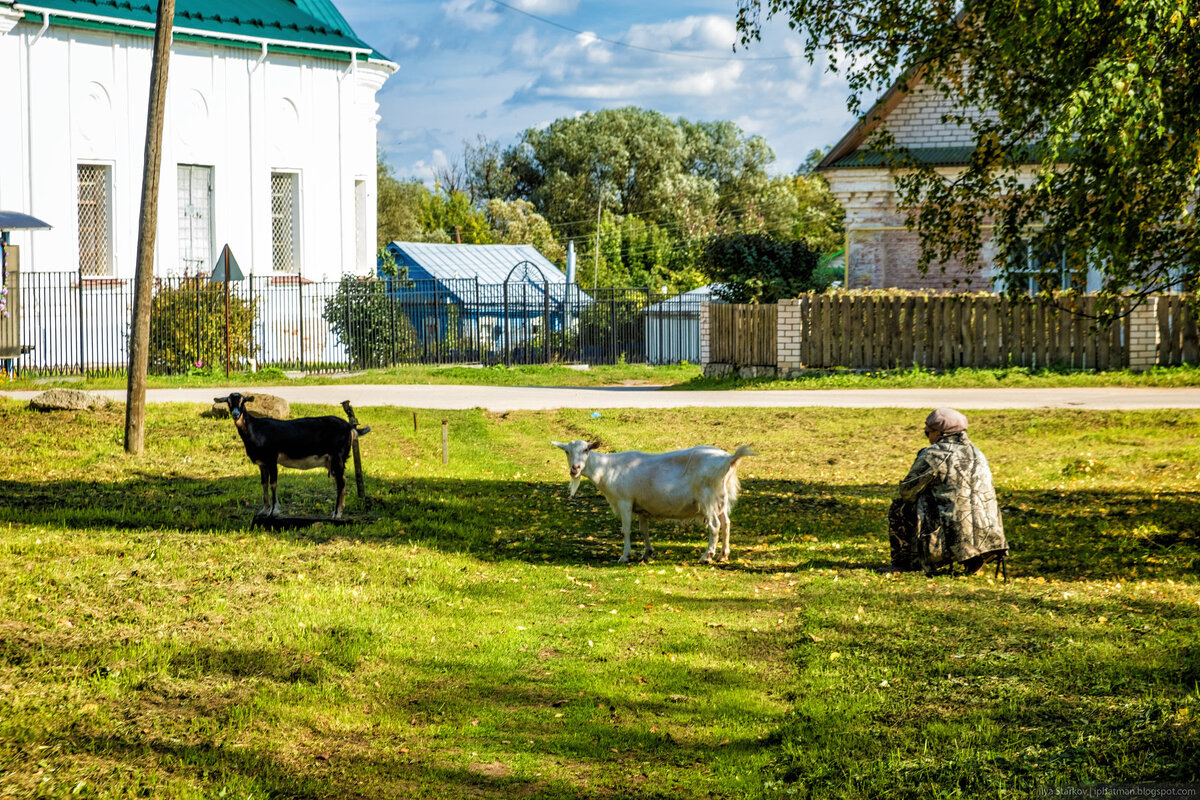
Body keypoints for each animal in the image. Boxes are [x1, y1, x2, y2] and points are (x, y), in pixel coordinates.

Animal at [212, 393, 369, 520]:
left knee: (341, 482)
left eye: (242, 401)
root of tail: (350, 428)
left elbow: (273, 484)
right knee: (341, 480)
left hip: (338, 457)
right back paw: (338, 511)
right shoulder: (262, 463)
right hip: (332, 460)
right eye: (228, 402)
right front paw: (263, 510)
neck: (255, 429)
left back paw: (336, 514)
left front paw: (273, 512)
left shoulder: (272, 459)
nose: (235, 414)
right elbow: (264, 484)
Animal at [549, 441, 753, 566]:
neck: (606, 468)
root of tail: (728, 459)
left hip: (708, 498)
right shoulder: (641, 507)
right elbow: (643, 530)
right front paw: (647, 553)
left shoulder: (624, 501)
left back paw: (707, 556)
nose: (575, 469)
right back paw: (723, 555)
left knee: (715, 525)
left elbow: (626, 530)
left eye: (586, 450)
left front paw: (625, 556)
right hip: (721, 498)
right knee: (726, 523)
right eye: (567, 451)